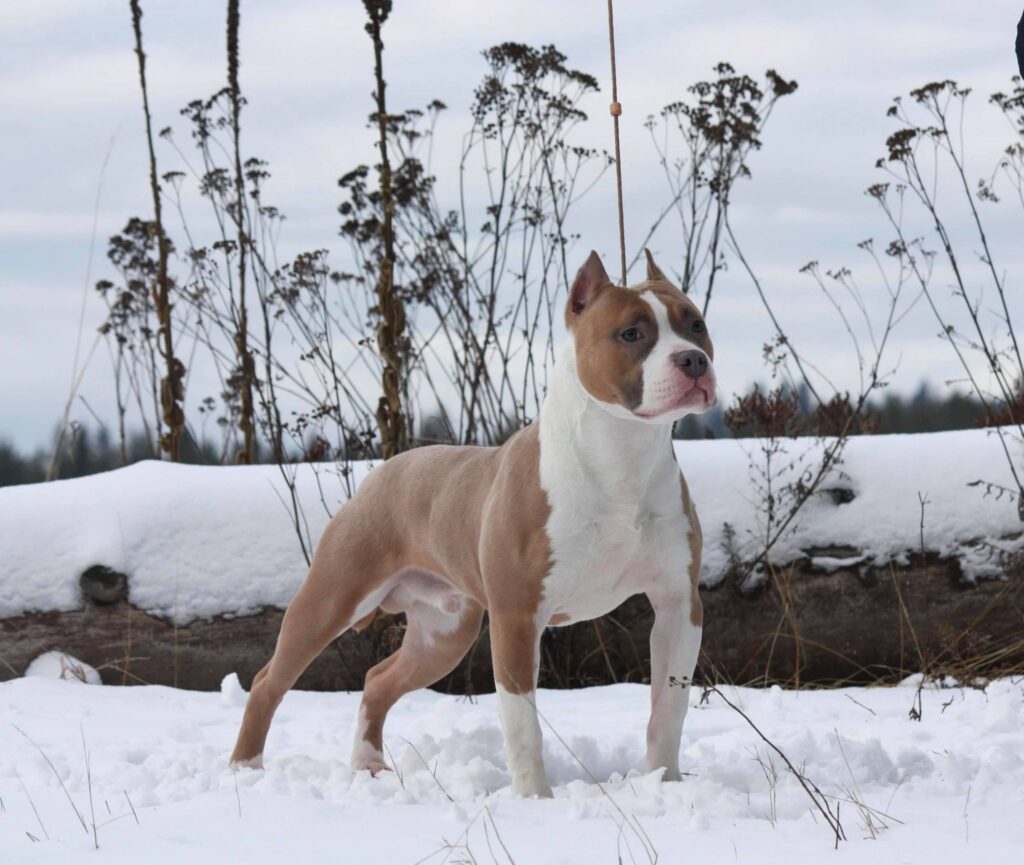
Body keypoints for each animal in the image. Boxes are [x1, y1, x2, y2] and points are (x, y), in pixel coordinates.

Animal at [230, 249, 720, 798]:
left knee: (378, 679)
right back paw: (244, 769)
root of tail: (385, 470)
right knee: (269, 681)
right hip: (331, 597)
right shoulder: (516, 615)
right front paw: (535, 799)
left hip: (443, 632)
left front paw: (665, 783)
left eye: (696, 325)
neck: (621, 459)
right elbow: (522, 722)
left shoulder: (678, 604)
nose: (694, 360)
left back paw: (368, 764)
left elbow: (669, 708)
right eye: (632, 333)